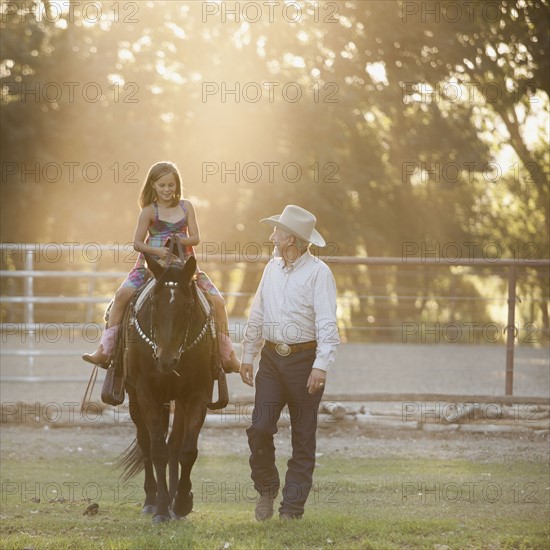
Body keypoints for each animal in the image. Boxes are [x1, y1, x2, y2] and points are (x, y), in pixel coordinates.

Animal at [118, 256, 224, 524]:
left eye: (187, 306)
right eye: (154, 303)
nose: (166, 360)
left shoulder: (197, 395)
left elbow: (187, 451)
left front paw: (183, 502)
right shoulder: (146, 393)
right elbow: (157, 450)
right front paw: (162, 508)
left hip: (179, 401)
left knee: (175, 443)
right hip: (135, 398)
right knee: (146, 443)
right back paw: (151, 500)